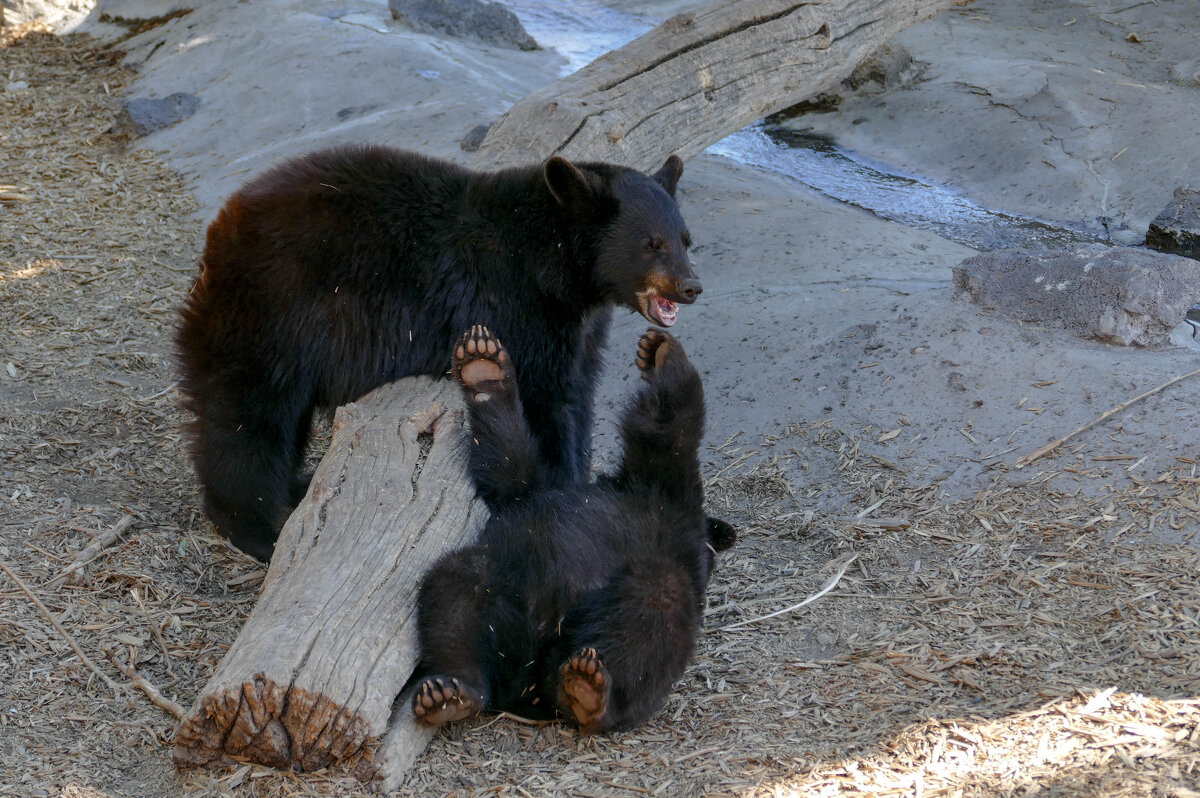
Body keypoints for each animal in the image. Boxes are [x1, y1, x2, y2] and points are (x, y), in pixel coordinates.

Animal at [176, 146, 700, 564]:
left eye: (685, 239)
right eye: (650, 243)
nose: (690, 286)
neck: (554, 267)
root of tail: (217, 239)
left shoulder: (580, 331)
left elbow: (580, 395)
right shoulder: (519, 310)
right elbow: (548, 404)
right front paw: (560, 488)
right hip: (272, 315)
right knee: (248, 420)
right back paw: (259, 526)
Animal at [410, 326, 729, 729]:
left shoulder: (665, 498)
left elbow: (667, 427)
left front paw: (663, 353)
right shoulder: (542, 493)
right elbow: (509, 463)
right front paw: (482, 365)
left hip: (647, 595)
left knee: (649, 611)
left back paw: (589, 691)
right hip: (500, 587)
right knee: (454, 596)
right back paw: (451, 693)